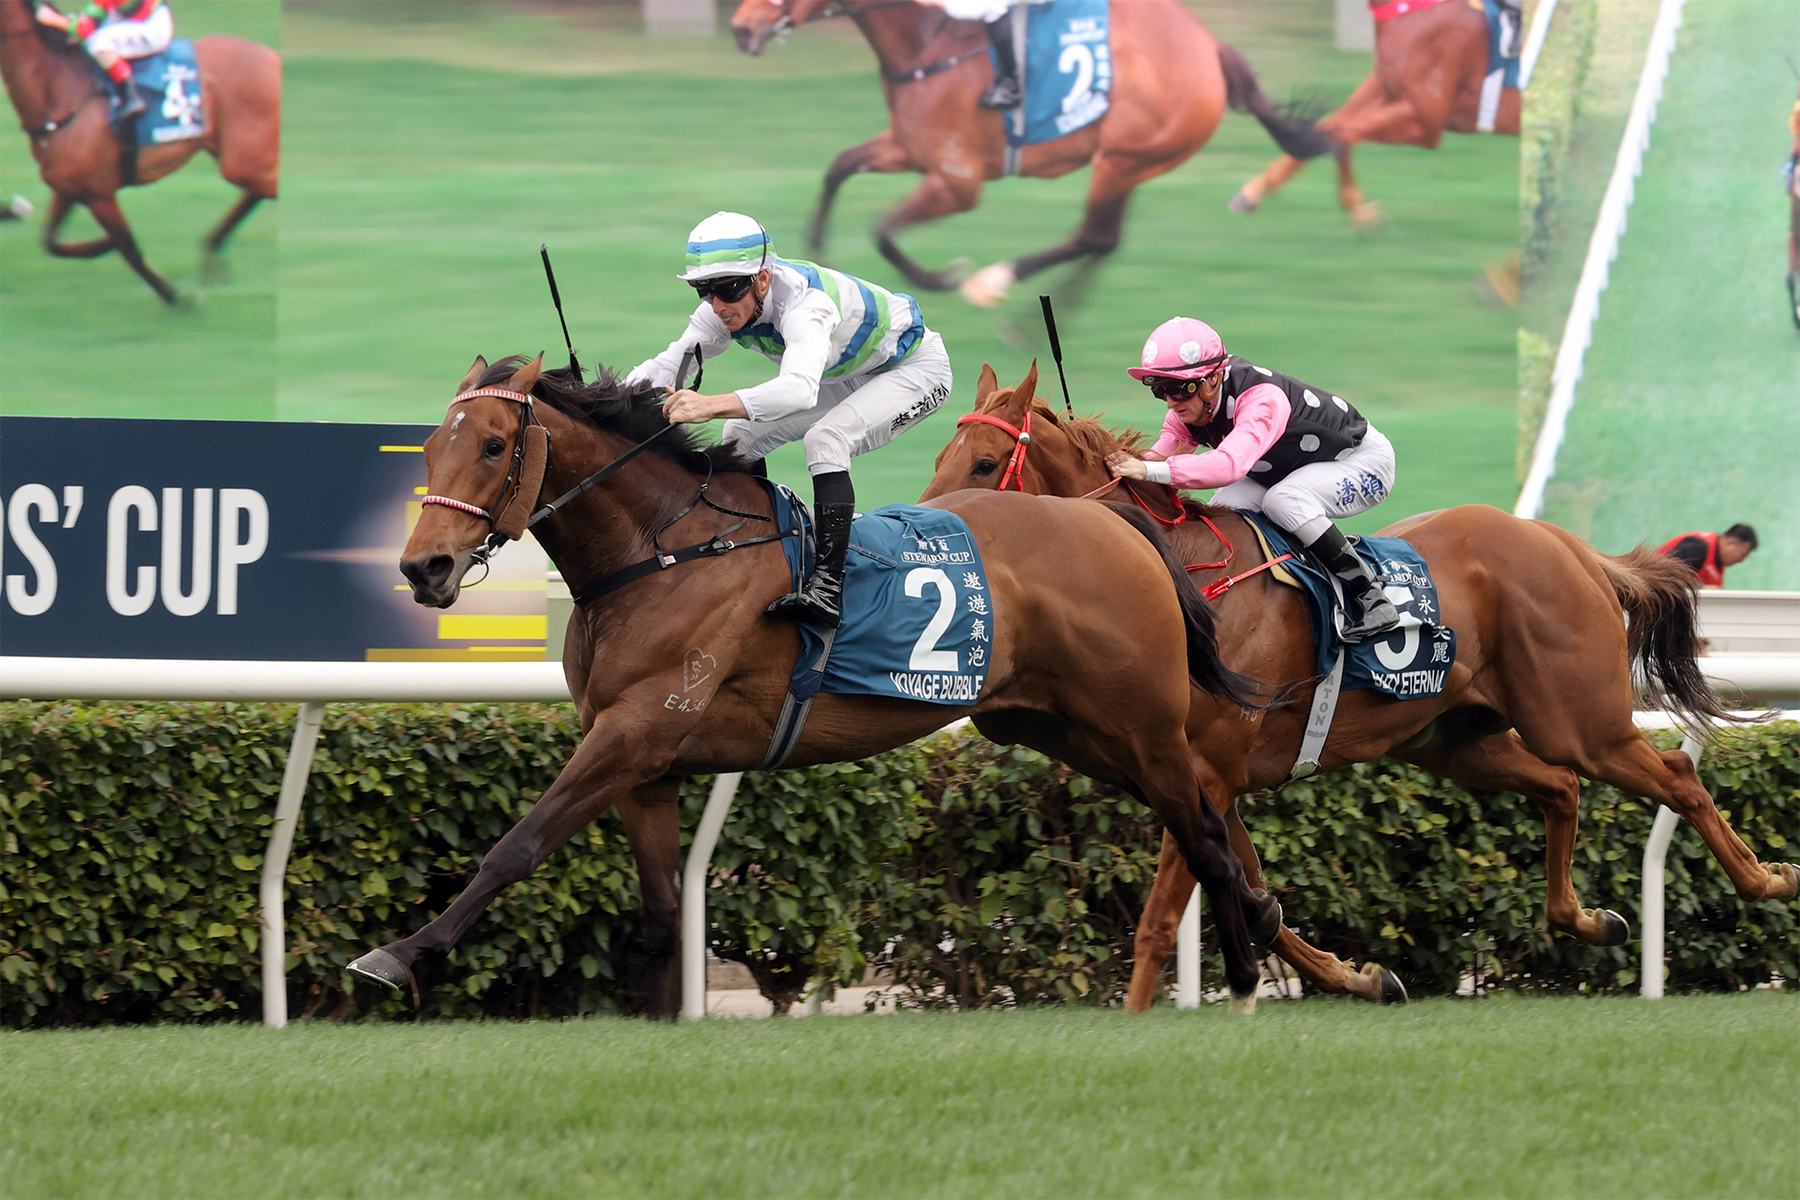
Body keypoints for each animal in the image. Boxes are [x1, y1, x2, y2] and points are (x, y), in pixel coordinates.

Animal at [0, 0, 277, 305]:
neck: (58, 92)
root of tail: (271, 57)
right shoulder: (70, 189)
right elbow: (51, 242)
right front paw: (102, 244)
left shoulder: (99, 193)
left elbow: (129, 249)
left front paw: (174, 297)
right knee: (255, 192)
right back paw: (212, 248)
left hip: (241, 160)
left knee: (263, 187)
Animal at [351, 354, 1288, 1014]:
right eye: (429, 447)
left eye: (494, 446)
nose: (424, 567)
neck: (661, 549)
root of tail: (1117, 519)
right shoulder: (644, 766)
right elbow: (660, 914)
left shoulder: (637, 731)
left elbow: (517, 845)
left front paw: (395, 955)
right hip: (1064, 729)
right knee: (1203, 824)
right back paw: (1260, 940)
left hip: (1141, 723)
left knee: (1203, 832)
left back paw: (1245, 980)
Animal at [723, 0, 1332, 307]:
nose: (740, 27)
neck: (929, 42)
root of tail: (1211, 48)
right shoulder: (911, 150)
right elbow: (840, 166)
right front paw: (814, 244)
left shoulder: (957, 182)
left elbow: (884, 230)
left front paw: (943, 278)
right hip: (1132, 163)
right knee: (1103, 240)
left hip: (1120, 160)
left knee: (1093, 236)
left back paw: (996, 286)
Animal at [921, 376, 1792, 1007]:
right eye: (939, 454)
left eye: (980, 465)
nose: (929, 527)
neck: (1180, 579)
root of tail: (1567, 545)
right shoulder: (1203, 777)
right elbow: (1253, 890)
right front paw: (1365, 976)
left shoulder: (1204, 769)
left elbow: (1163, 919)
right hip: (1455, 738)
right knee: (1559, 787)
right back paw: (1588, 918)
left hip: (1580, 717)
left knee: (1673, 778)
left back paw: (1767, 879)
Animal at [1224, 0, 1519, 230]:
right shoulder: (1386, 85)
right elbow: (1333, 124)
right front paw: (1253, 193)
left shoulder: (1427, 121)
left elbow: (1339, 132)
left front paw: (1361, 213)